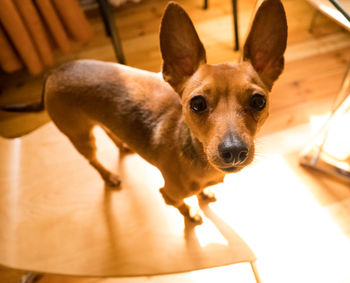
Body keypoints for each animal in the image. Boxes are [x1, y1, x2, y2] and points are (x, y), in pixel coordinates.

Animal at [2, 1, 288, 225]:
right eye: (196, 104)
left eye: (258, 101)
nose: (234, 151)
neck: (196, 153)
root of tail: (53, 73)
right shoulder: (168, 195)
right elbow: (183, 206)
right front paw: (192, 216)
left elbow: (198, 193)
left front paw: (203, 195)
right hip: (80, 137)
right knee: (93, 161)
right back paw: (109, 177)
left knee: (107, 129)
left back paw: (123, 145)